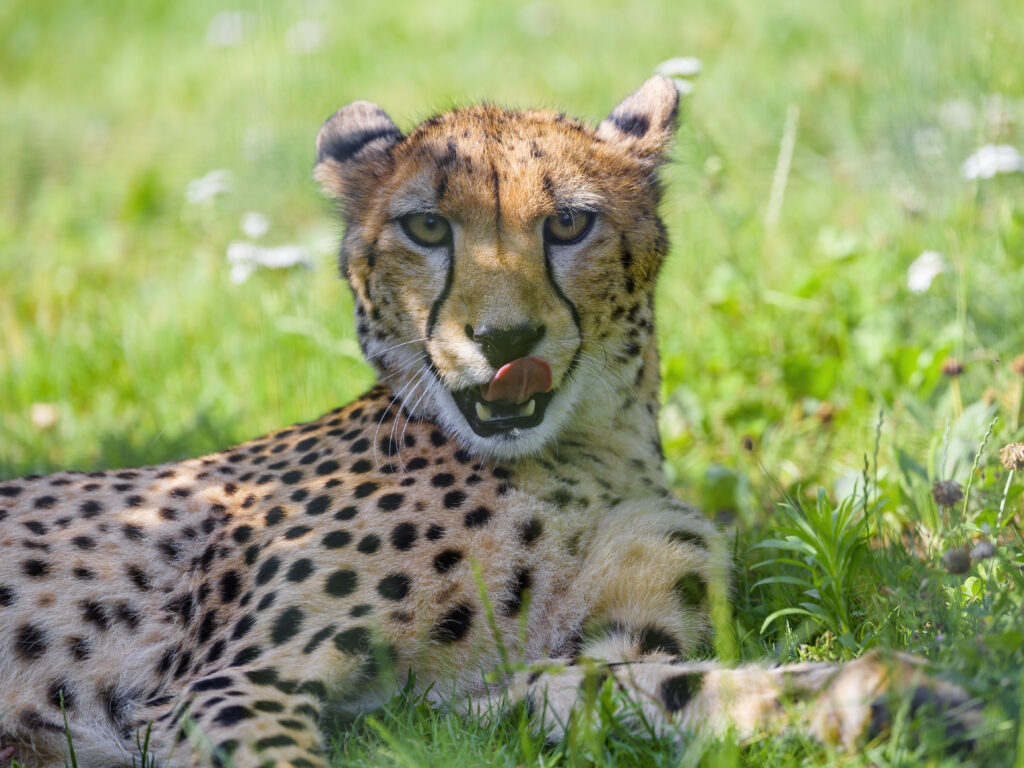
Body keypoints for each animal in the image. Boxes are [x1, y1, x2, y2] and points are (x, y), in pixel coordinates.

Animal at [0, 77, 978, 768]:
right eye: (428, 227)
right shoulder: (219, 691)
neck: (587, 449)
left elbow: (650, 688)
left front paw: (875, 701)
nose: (506, 339)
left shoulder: (442, 706)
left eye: (571, 223)